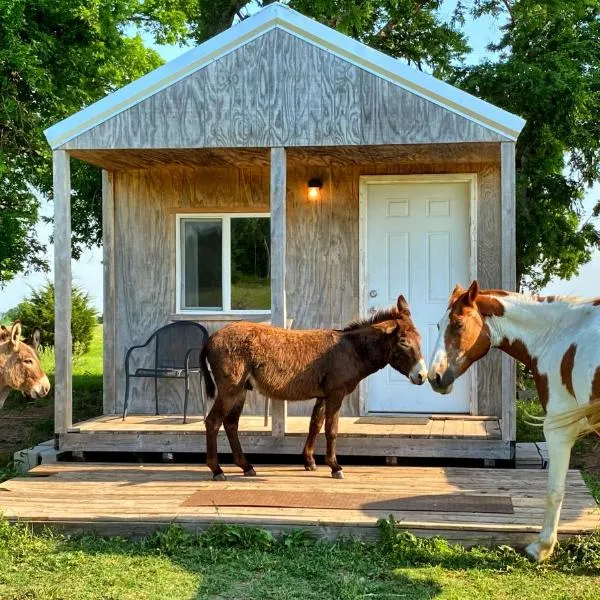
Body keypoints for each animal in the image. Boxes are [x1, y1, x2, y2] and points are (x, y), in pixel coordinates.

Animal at [426, 282, 600, 564]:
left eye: (458, 325)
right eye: (440, 325)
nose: (435, 377)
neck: (559, 334)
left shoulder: (558, 430)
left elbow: (554, 491)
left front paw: (541, 548)